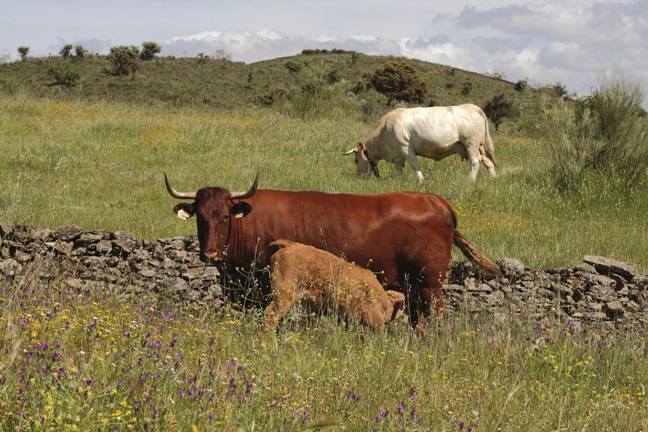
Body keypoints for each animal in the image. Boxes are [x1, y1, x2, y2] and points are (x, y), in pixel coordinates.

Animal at [343, 104, 497, 182]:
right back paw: (493, 179)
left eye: (356, 160)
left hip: (471, 143)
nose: (359, 176)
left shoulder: (405, 147)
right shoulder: (398, 153)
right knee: (488, 162)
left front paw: (421, 180)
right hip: (480, 146)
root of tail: (473, 106)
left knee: (475, 161)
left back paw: (470, 180)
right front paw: (398, 181)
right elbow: (399, 168)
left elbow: (414, 164)